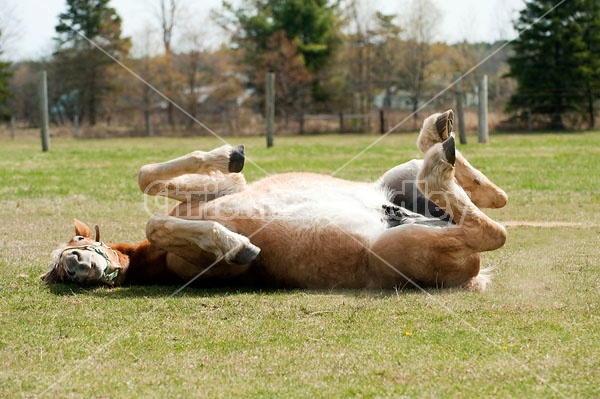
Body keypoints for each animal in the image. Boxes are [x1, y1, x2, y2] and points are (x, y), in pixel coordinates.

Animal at [42, 111, 506, 292]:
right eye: (60, 271)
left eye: (76, 244)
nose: (76, 266)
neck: (156, 262)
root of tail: (472, 276)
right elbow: (155, 220)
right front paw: (237, 246)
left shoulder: (226, 189)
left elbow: (149, 181)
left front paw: (230, 154)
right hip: (405, 245)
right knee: (489, 229)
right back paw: (435, 163)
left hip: (399, 181)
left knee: (489, 199)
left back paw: (439, 135)